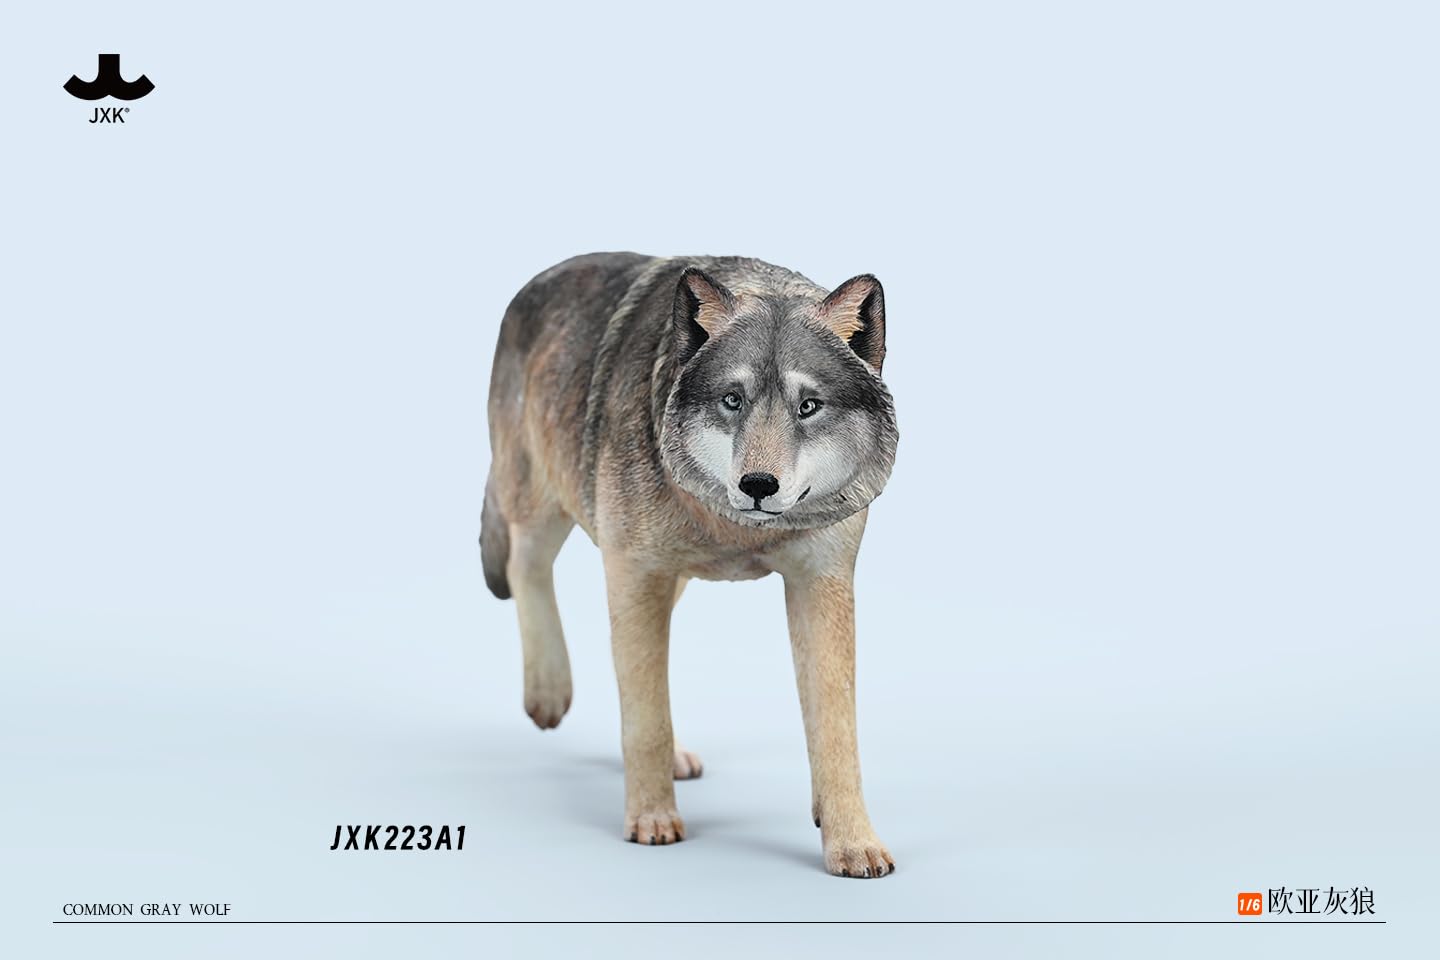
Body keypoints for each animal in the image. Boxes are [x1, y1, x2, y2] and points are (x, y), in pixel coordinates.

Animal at [480, 253, 899, 877]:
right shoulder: (634, 571)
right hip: (544, 503)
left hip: (664, 580)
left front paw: (851, 842)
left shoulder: (820, 584)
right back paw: (548, 694)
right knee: (525, 565)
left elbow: (834, 728)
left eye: (808, 407)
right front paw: (652, 820)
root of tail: (534, 283)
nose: (757, 485)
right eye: (733, 400)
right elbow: (647, 718)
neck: (732, 528)